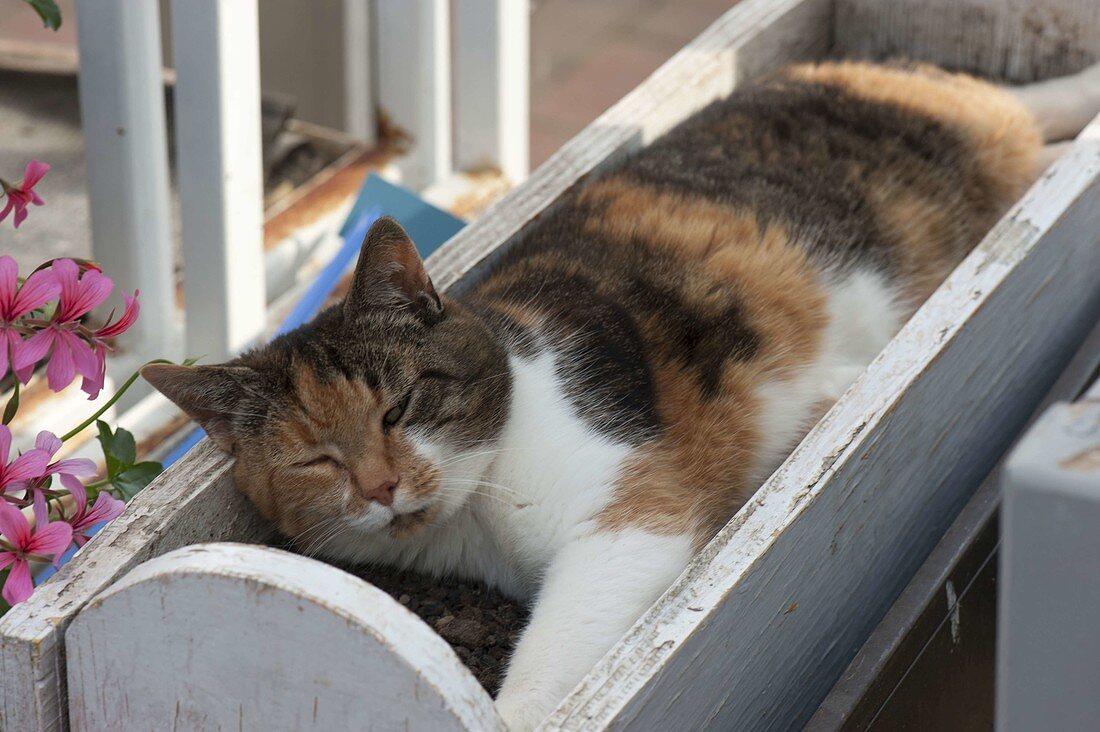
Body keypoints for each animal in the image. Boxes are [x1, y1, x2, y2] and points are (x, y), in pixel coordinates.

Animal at [146, 59, 1100, 726]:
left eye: (401, 406)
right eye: (315, 459)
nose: (381, 487)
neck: (474, 521)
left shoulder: (633, 516)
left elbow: (543, 675)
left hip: (961, 133)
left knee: (1025, 106)